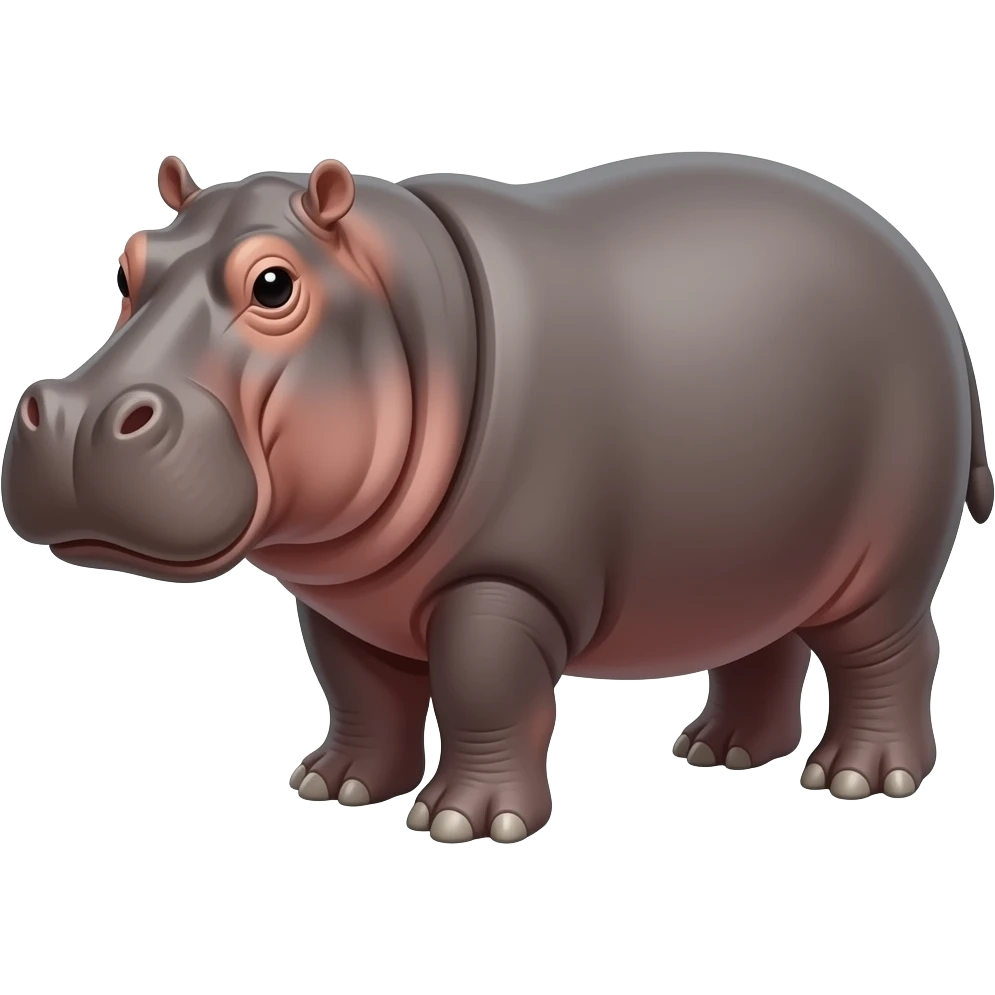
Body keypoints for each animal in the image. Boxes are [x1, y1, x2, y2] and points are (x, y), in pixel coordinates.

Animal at [2, 153, 990, 843]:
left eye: (274, 283)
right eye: (129, 264)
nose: (74, 416)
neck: (402, 304)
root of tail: (921, 272)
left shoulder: (505, 580)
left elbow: (483, 687)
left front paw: (462, 823)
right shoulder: (344, 599)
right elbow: (358, 688)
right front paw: (335, 786)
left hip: (885, 555)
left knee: (891, 649)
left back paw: (858, 777)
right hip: (753, 541)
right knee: (761, 635)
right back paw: (722, 751)